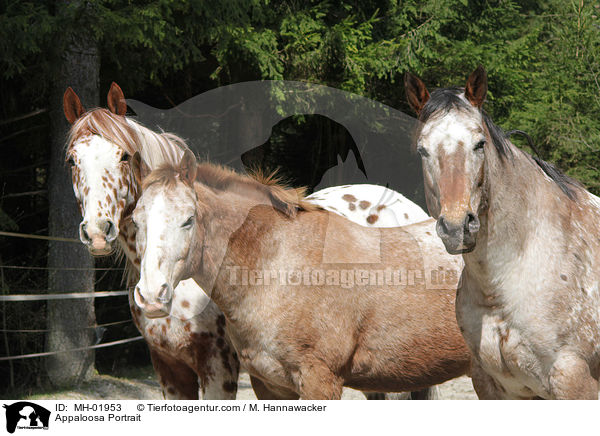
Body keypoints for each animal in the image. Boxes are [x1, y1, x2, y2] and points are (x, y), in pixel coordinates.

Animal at [129, 149, 472, 398]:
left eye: (188, 219)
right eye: (135, 220)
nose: (151, 296)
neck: (277, 265)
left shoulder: (320, 380)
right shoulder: (269, 385)